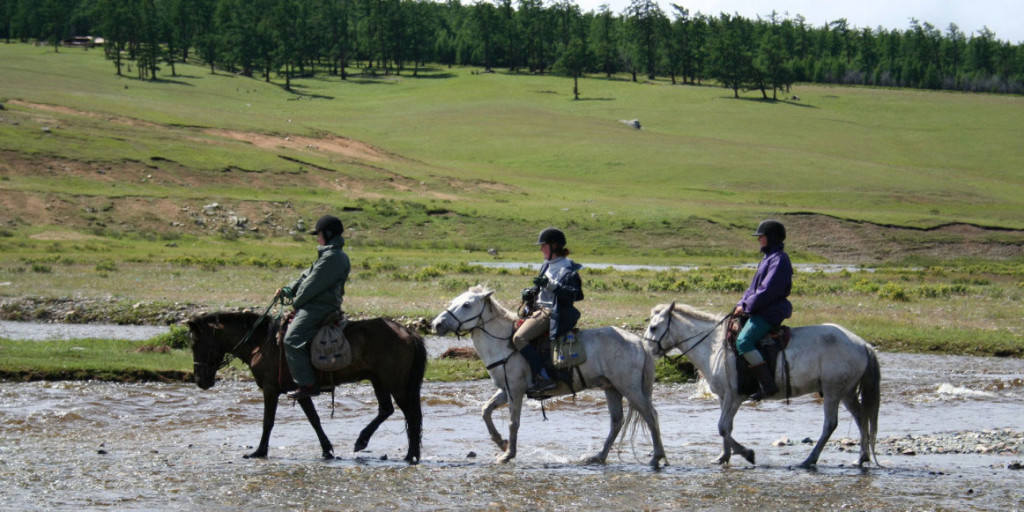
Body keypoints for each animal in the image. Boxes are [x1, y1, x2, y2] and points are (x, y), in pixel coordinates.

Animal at [189, 311, 428, 464]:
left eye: (195, 343)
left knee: (411, 415)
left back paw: (410, 455)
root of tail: (408, 333)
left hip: (396, 383)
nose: (201, 380)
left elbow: (268, 421)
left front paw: (259, 452)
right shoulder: (301, 392)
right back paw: (365, 442)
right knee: (387, 410)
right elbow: (314, 420)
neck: (261, 343)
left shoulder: (270, 388)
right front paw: (327, 451)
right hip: (378, 380)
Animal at [430, 286, 663, 466]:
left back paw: (656, 458)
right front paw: (501, 443)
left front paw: (508, 455)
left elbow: (513, 422)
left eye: (467, 305)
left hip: (629, 387)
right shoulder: (506, 390)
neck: (504, 343)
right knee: (617, 421)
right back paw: (598, 457)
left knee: (649, 415)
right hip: (611, 387)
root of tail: (638, 342)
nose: (436, 325)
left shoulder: (515, 390)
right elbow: (485, 410)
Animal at [643, 303, 876, 468]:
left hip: (832, 391)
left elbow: (722, 427)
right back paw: (861, 458)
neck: (714, 346)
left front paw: (748, 454)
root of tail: (862, 344)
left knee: (830, 424)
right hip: (846, 392)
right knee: (861, 416)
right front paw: (723, 457)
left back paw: (809, 460)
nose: (645, 350)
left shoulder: (735, 396)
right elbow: (726, 428)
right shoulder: (724, 397)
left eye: (654, 327)